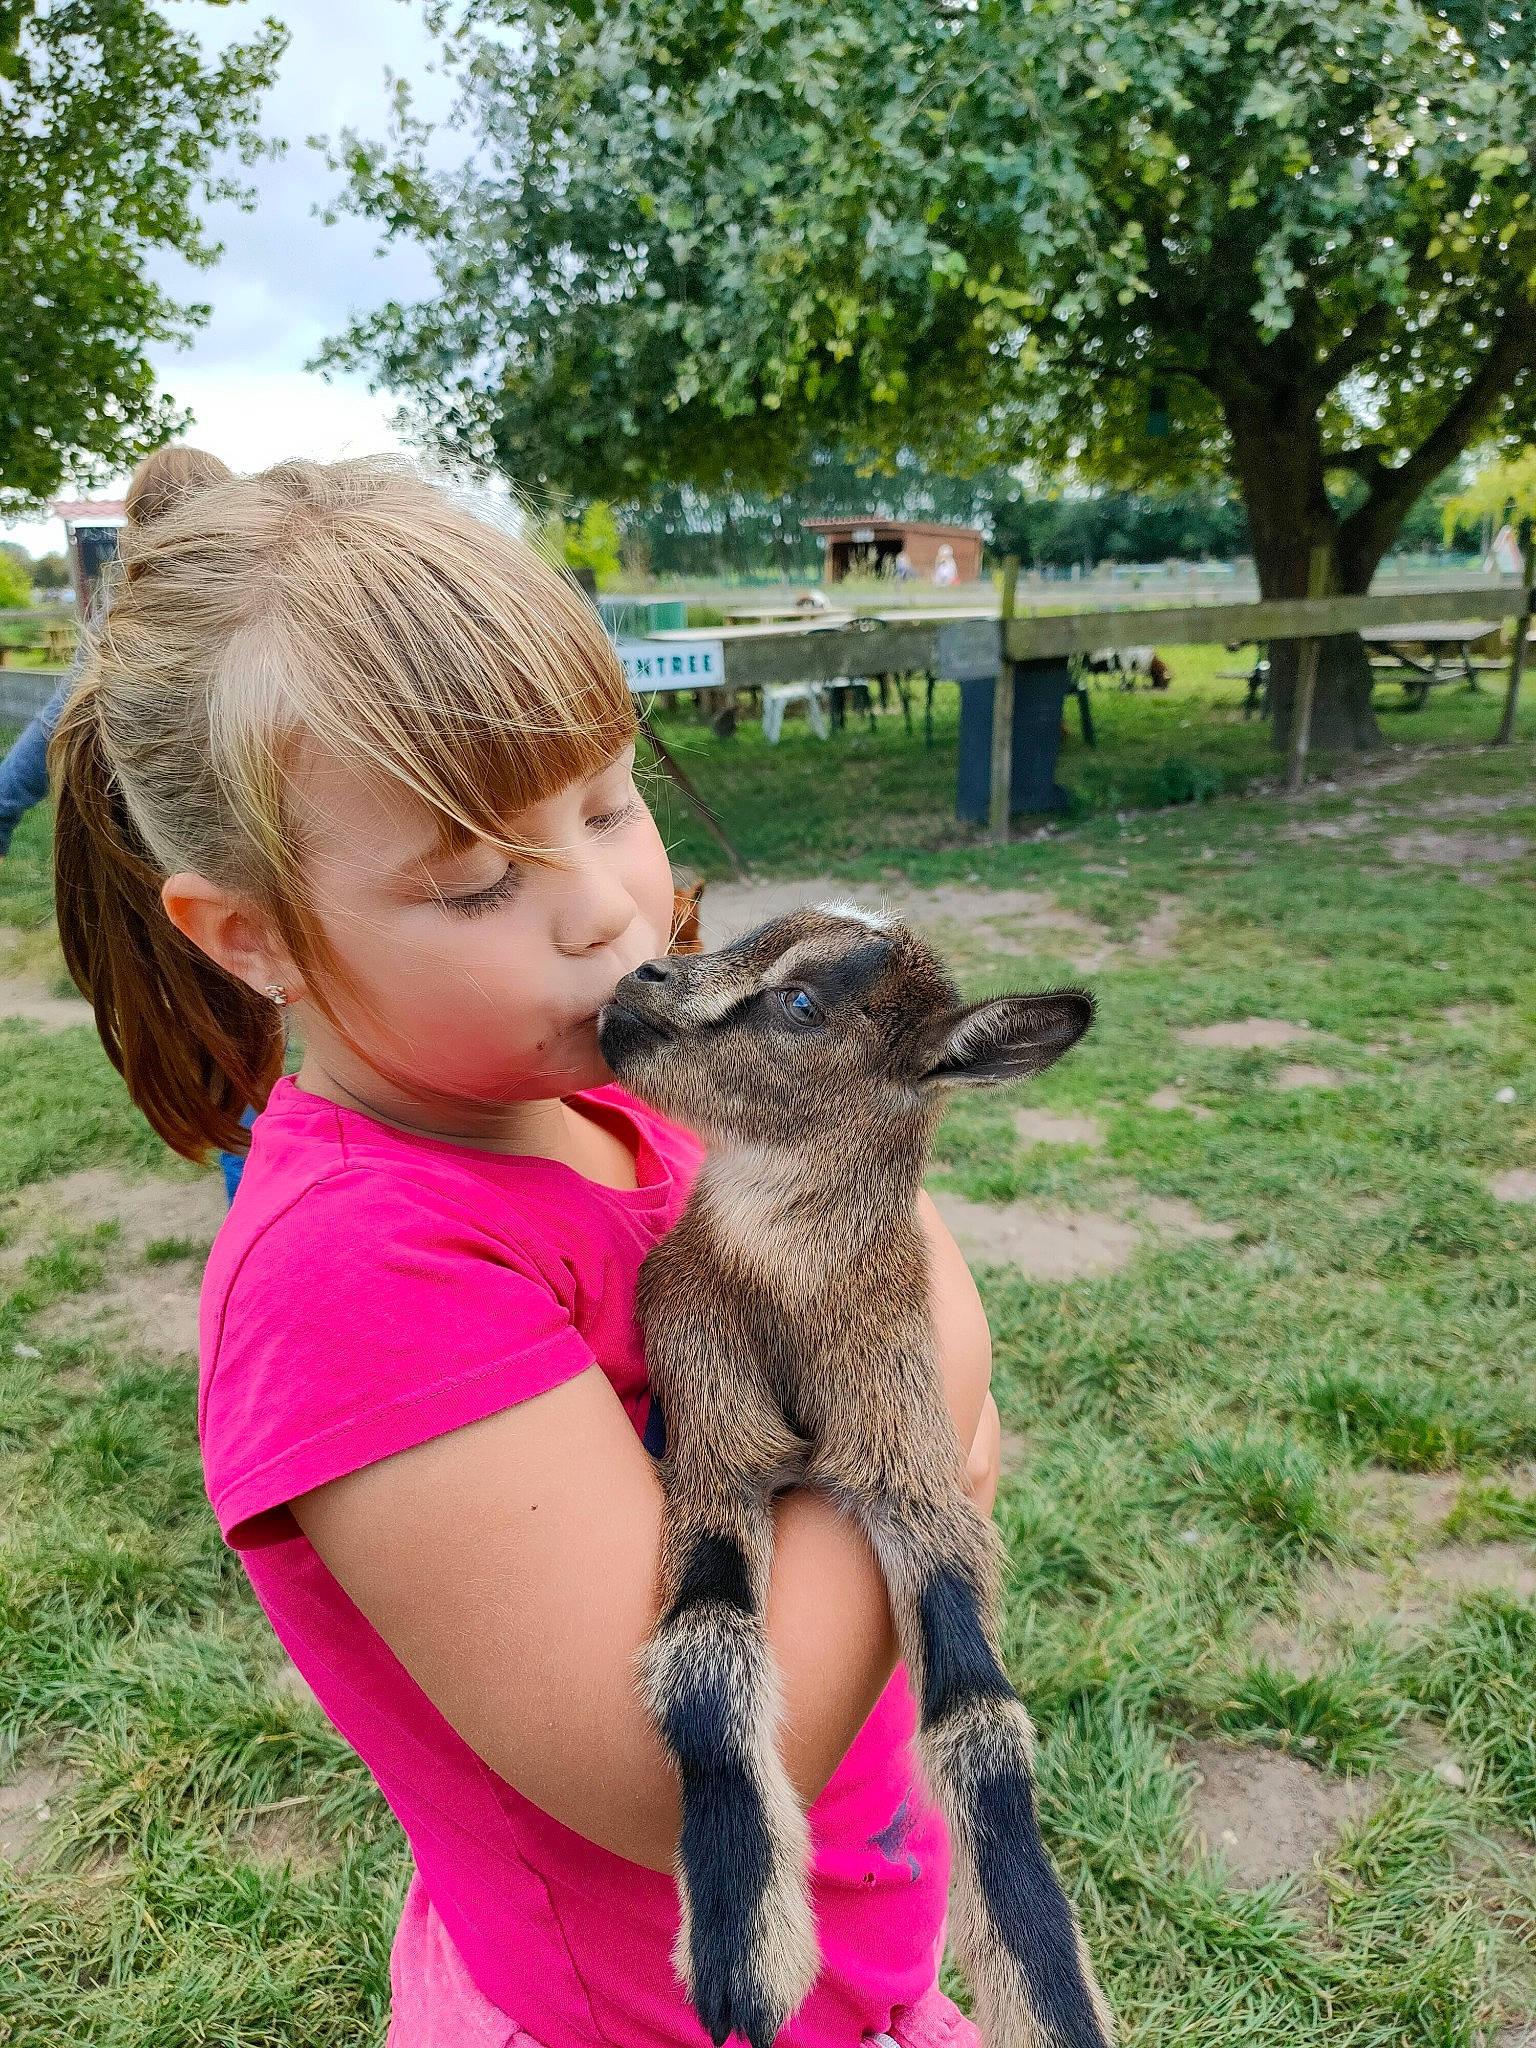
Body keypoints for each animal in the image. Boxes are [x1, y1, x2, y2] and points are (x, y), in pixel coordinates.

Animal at [597, 905, 1113, 2048]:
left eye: (800, 1001)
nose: (635, 980)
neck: (791, 1298)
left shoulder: (910, 1465)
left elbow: (982, 1727)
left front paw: (1055, 2006)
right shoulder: (713, 1434)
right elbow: (705, 1653)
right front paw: (742, 1956)